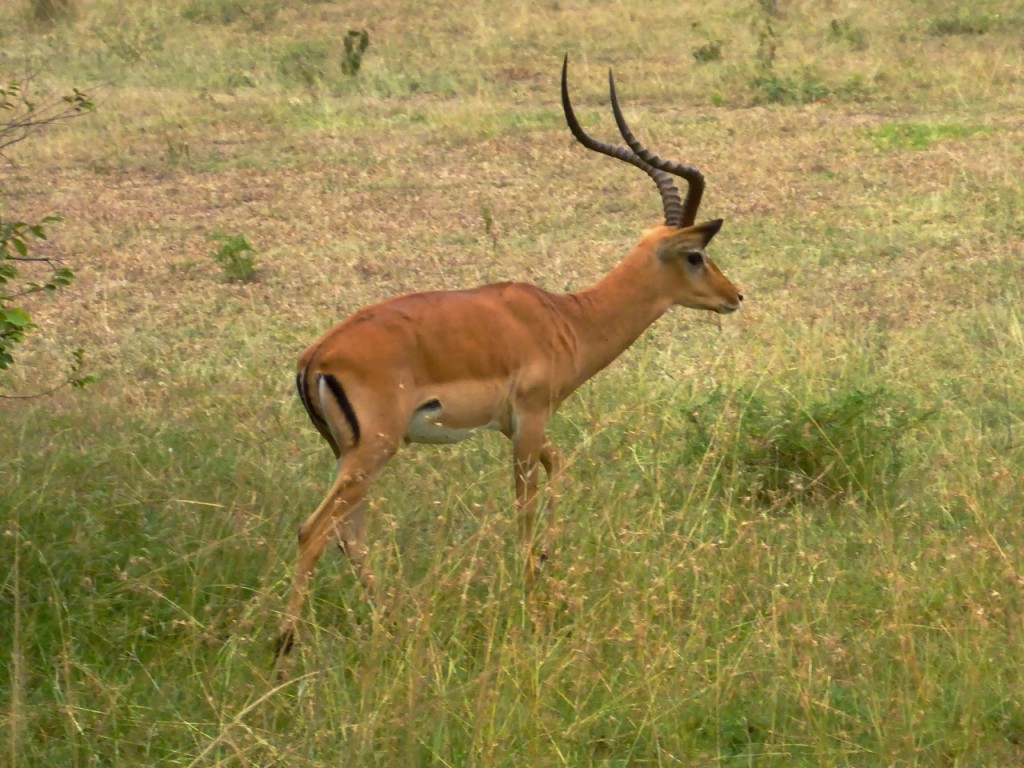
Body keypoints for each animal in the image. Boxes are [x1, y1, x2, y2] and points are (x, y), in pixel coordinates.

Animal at [278, 54, 745, 659]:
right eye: (695, 255)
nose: (735, 295)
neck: (566, 317)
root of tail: (315, 357)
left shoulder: (516, 425)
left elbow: (560, 464)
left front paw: (546, 564)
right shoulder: (528, 421)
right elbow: (525, 502)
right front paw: (531, 590)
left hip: (352, 454)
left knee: (348, 534)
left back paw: (391, 622)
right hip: (373, 450)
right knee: (313, 530)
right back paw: (284, 644)